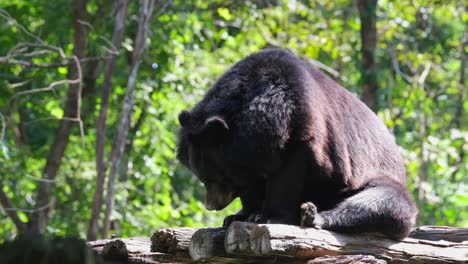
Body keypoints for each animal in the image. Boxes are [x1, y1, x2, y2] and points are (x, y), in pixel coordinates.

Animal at [176, 49, 416, 239]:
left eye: (218, 178)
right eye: (203, 178)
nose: (211, 205)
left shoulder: (301, 131)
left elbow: (288, 175)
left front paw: (267, 217)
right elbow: (250, 185)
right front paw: (239, 215)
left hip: (373, 178)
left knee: (384, 202)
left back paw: (312, 216)